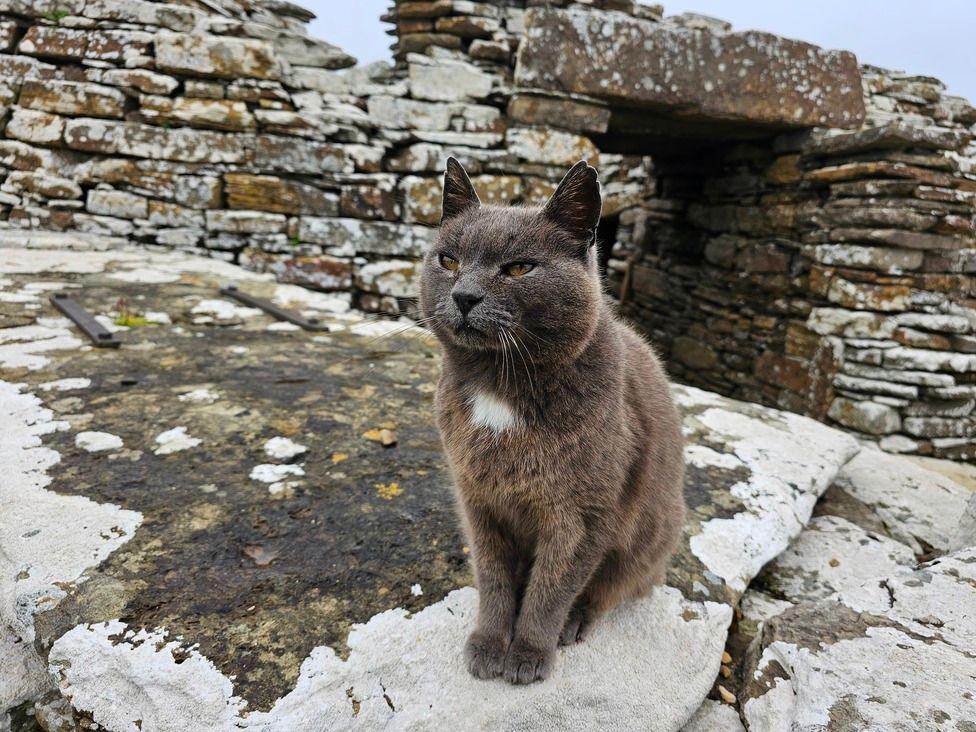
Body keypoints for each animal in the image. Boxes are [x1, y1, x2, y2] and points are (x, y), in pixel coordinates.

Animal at [420, 157, 688, 684]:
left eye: (519, 267)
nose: (464, 295)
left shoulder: (584, 515)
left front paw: (527, 654)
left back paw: (575, 622)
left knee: (612, 588)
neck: (499, 389)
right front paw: (489, 644)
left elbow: (552, 588)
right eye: (449, 261)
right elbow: (494, 579)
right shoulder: (478, 500)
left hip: (650, 534)